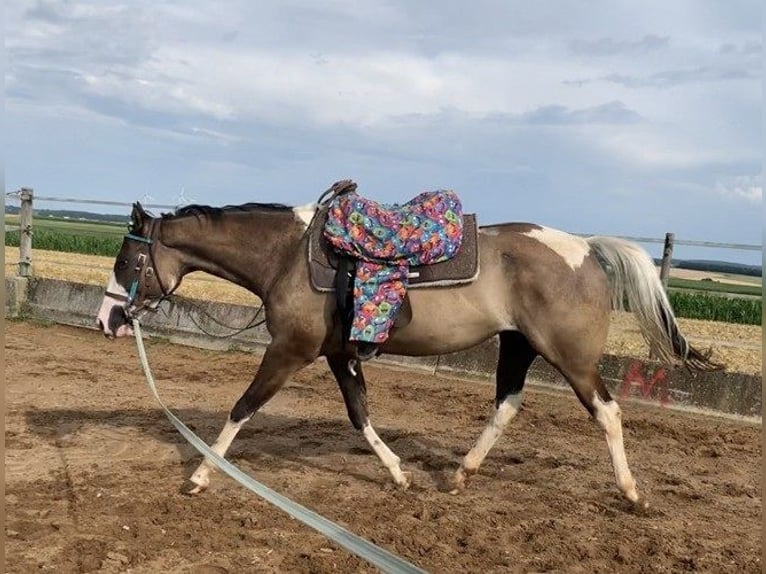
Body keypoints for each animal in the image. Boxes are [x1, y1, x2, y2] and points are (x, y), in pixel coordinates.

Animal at [96, 184, 721, 509]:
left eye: (126, 260)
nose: (108, 319)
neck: (287, 256)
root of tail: (588, 249)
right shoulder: (338, 354)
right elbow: (359, 415)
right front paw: (399, 474)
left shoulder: (290, 351)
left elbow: (242, 408)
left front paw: (200, 476)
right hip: (518, 346)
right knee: (507, 406)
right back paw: (460, 474)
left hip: (571, 357)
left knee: (608, 413)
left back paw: (631, 492)